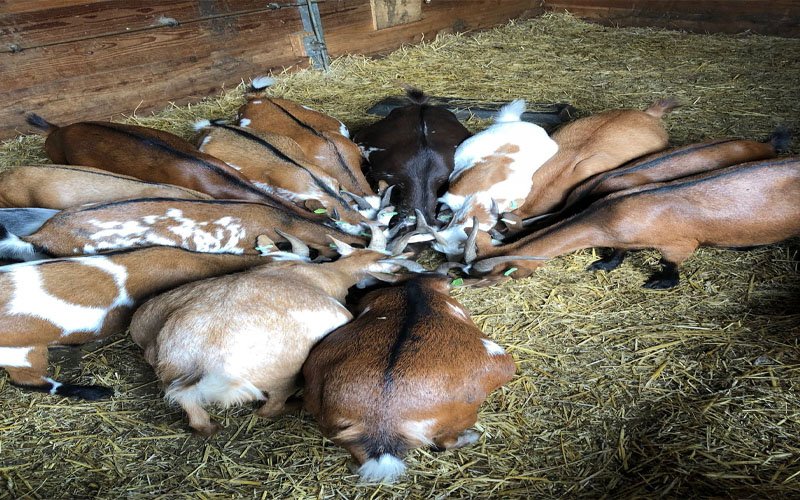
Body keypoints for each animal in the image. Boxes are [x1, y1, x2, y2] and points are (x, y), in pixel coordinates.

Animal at [129, 226, 423, 435]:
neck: (330, 273)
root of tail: (194, 360)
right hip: (283, 378)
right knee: (268, 410)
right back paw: (295, 405)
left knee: (194, 415)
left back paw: (209, 427)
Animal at [465, 157, 800, 288]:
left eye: (494, 276)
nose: (465, 286)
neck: (610, 213)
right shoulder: (619, 238)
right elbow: (617, 252)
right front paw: (604, 264)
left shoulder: (677, 244)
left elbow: (671, 265)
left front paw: (659, 282)